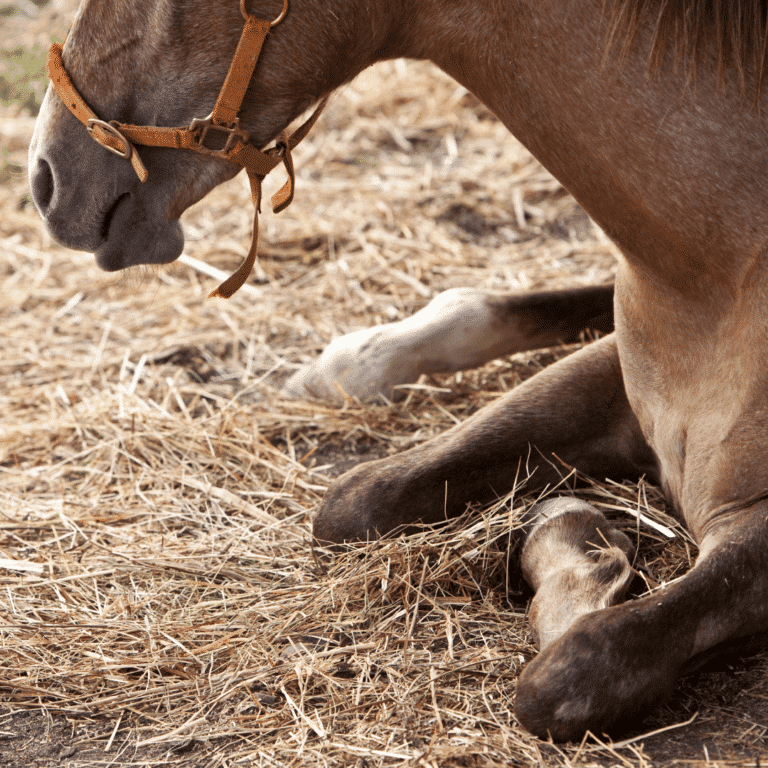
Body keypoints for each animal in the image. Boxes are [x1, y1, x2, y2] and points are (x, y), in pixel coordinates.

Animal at [27, 0, 768, 744]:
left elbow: (571, 672)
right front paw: (582, 538)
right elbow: (357, 496)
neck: (710, 277)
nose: (45, 178)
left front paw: (591, 557)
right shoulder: (609, 379)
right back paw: (351, 364)